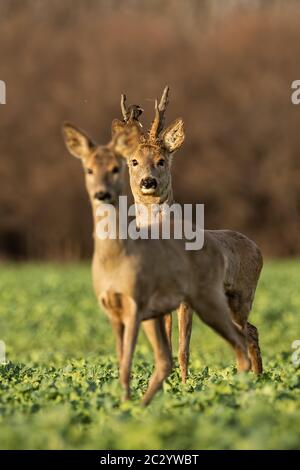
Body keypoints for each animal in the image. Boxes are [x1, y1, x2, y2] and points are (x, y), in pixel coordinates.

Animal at [112, 85, 262, 378]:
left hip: (243, 292)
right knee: (249, 331)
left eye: (161, 161)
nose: (148, 181)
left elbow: (183, 349)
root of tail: (257, 247)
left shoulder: (186, 295)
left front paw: (184, 384)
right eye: (133, 161)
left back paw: (253, 379)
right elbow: (167, 346)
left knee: (247, 332)